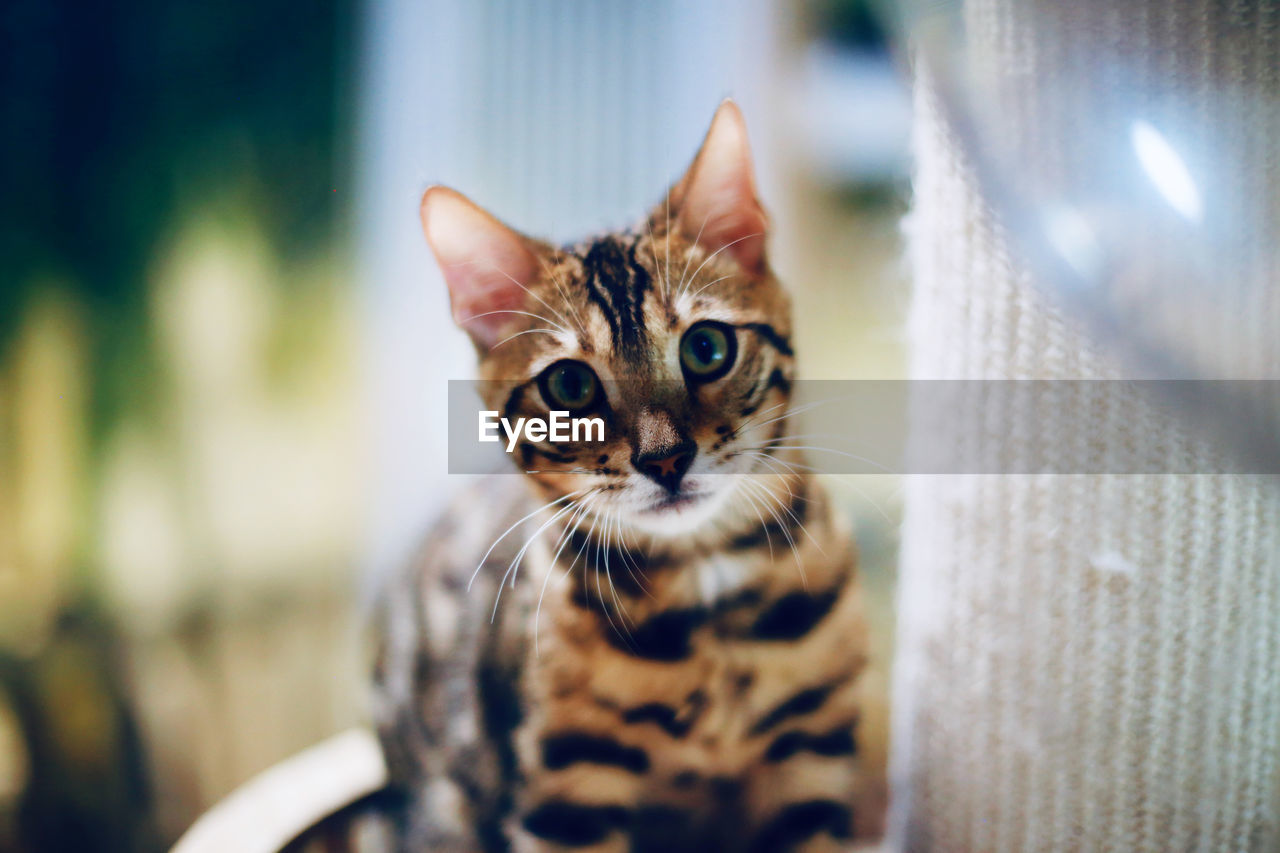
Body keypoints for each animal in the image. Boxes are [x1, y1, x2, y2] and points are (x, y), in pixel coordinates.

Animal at [371, 101, 880, 850]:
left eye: (707, 347)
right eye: (569, 385)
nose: (665, 458)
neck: (705, 593)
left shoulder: (814, 762)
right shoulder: (565, 796)